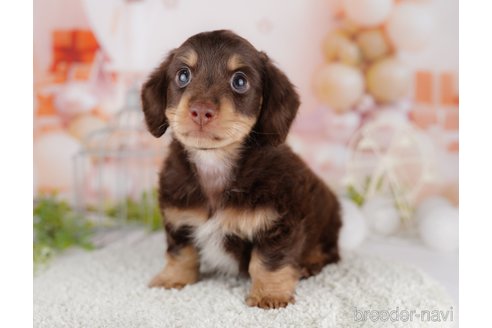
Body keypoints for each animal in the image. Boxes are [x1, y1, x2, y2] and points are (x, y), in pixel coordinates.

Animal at [140, 29, 340, 308]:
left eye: (240, 81)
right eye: (182, 75)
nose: (200, 111)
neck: (215, 163)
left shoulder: (278, 224)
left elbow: (269, 262)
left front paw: (269, 295)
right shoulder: (178, 219)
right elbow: (181, 252)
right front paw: (172, 278)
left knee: (329, 252)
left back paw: (310, 263)